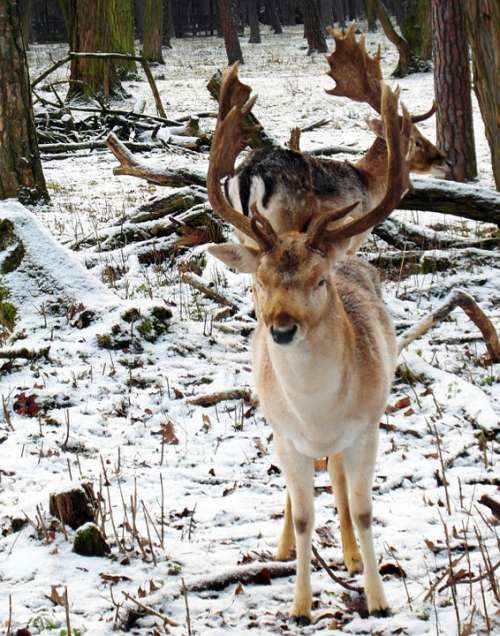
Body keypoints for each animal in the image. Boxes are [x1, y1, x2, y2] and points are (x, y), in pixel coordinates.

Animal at [205, 63, 412, 620]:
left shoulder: (366, 428)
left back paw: (349, 555)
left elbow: (363, 510)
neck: (317, 412)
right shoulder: (286, 435)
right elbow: (302, 516)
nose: (280, 328)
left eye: (318, 281)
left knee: (338, 481)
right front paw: (299, 606)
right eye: (258, 282)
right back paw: (282, 548)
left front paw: (377, 598)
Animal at [225, 25, 452, 253]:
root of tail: (247, 174)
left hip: (243, 231)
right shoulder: (355, 236)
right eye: (417, 140)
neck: (370, 184)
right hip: (282, 222)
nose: (445, 161)